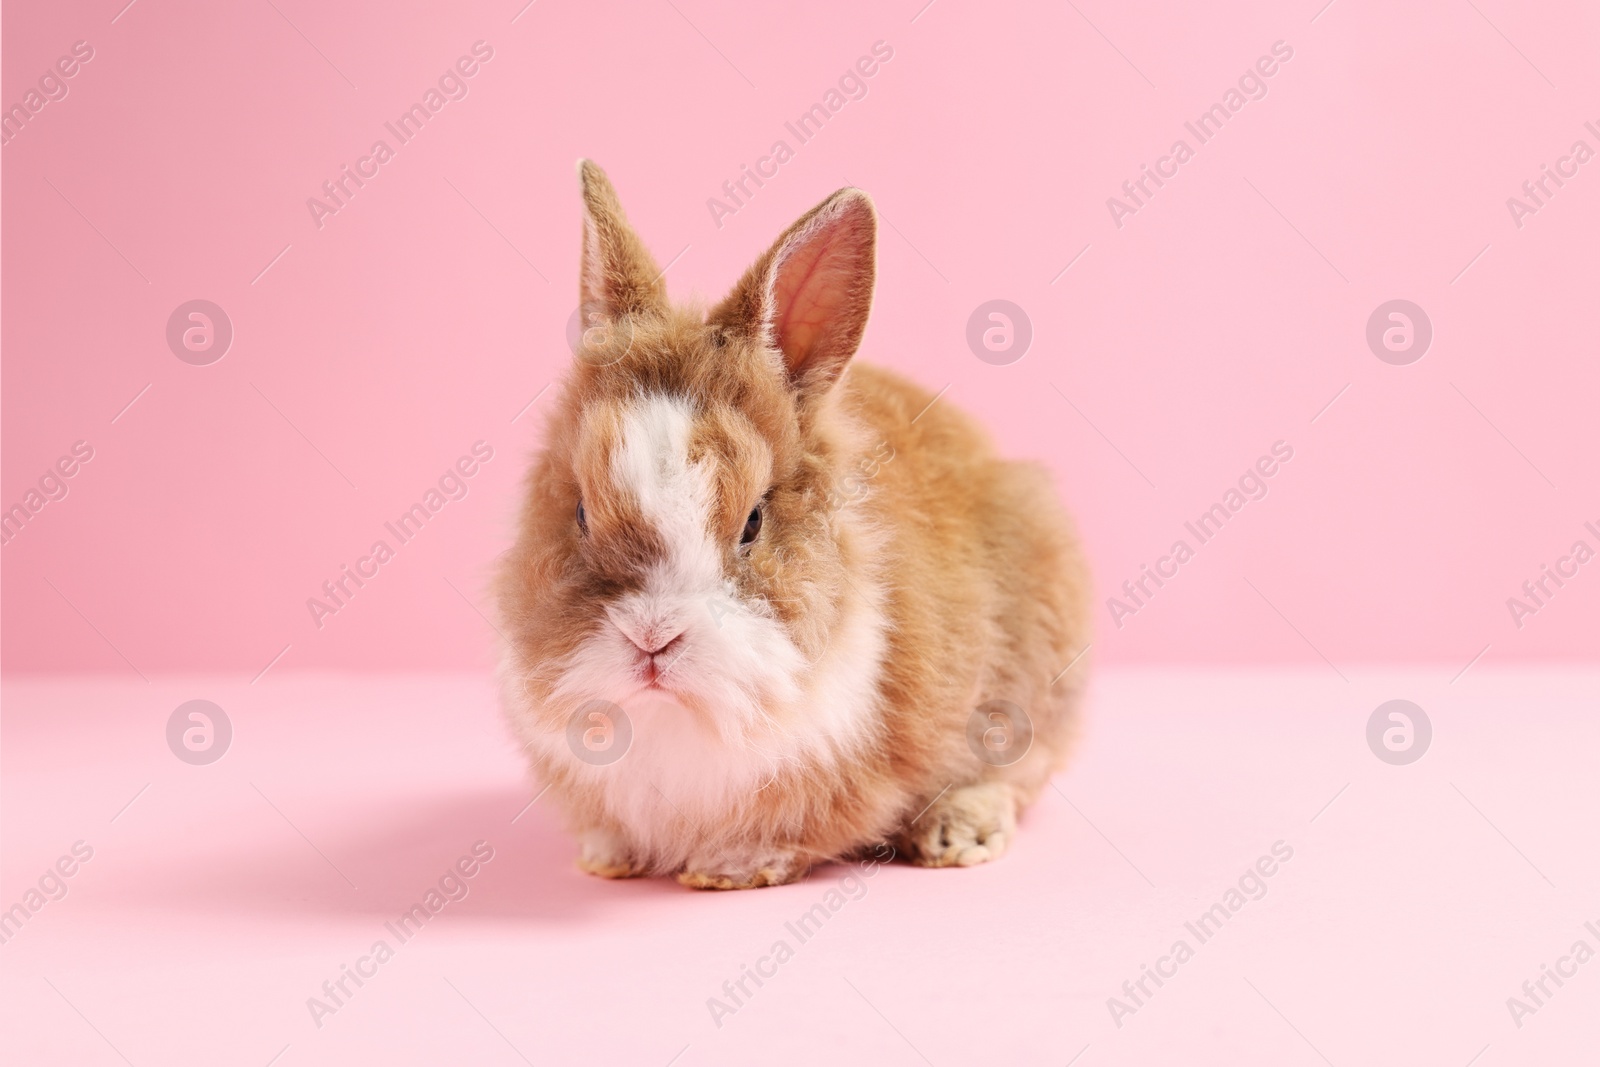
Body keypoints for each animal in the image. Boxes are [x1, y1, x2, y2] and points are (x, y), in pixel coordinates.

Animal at [492, 160, 1094, 895]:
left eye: (753, 521)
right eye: (580, 511)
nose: (652, 638)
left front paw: (727, 868)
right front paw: (609, 857)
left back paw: (956, 833)